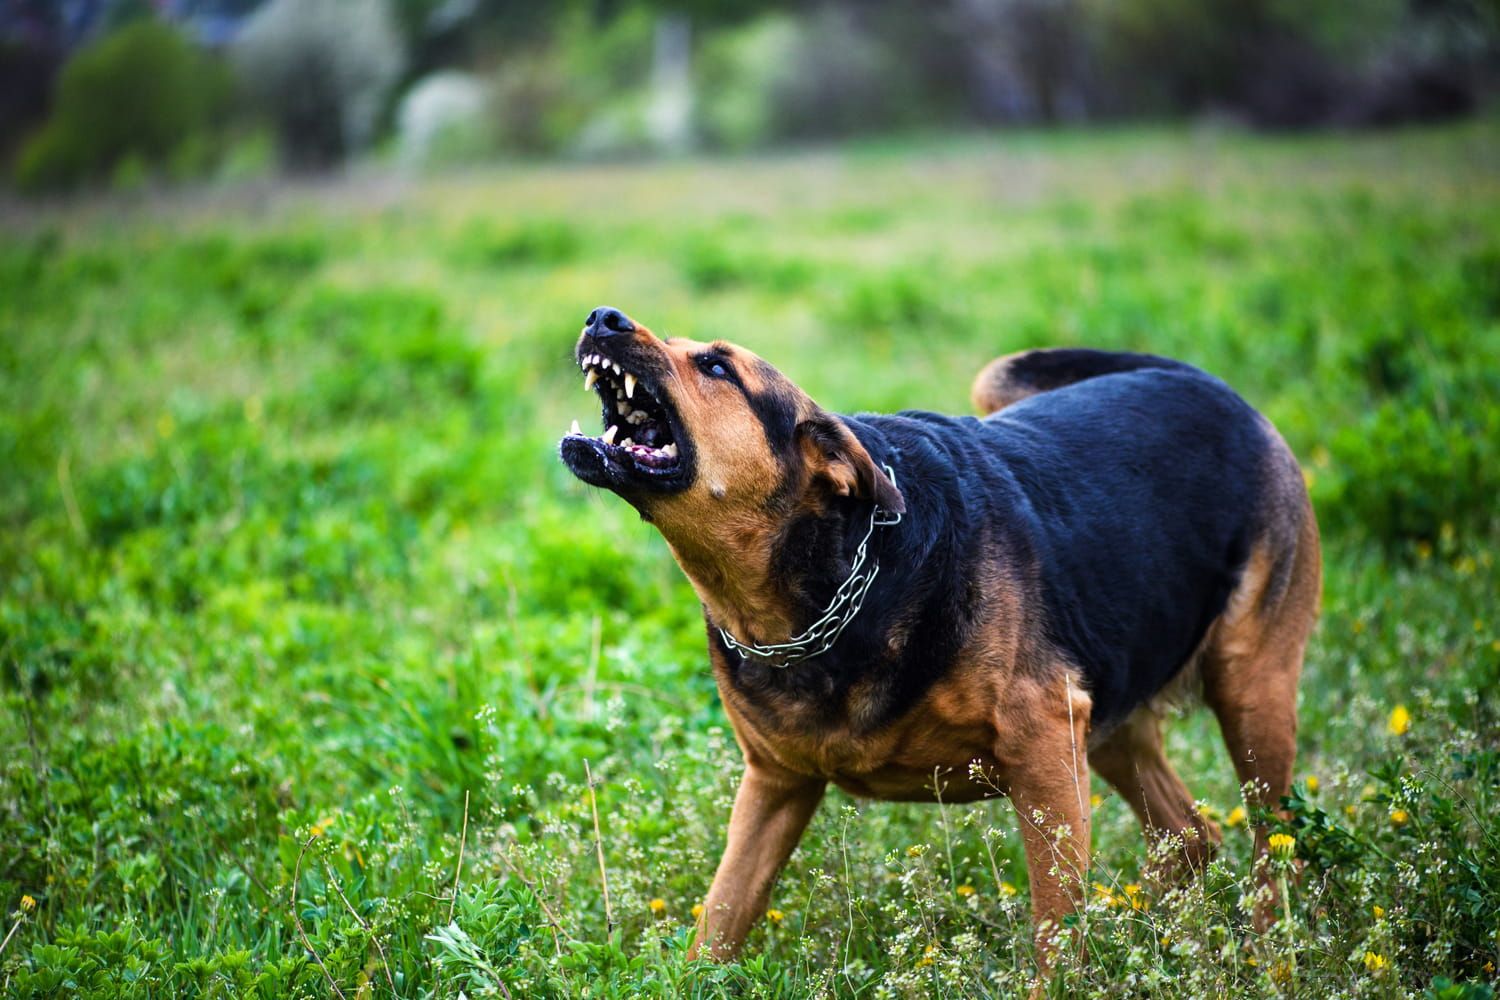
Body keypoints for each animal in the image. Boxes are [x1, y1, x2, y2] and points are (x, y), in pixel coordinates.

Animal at [558, 307, 1320, 971]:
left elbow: (1055, 928)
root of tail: (1207, 383)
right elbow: (720, 917)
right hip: (1108, 713)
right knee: (1191, 834)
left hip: (1250, 689)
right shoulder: (775, 785)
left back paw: (1268, 955)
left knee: (1272, 843)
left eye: (716, 365)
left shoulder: (1043, 750)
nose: (603, 317)